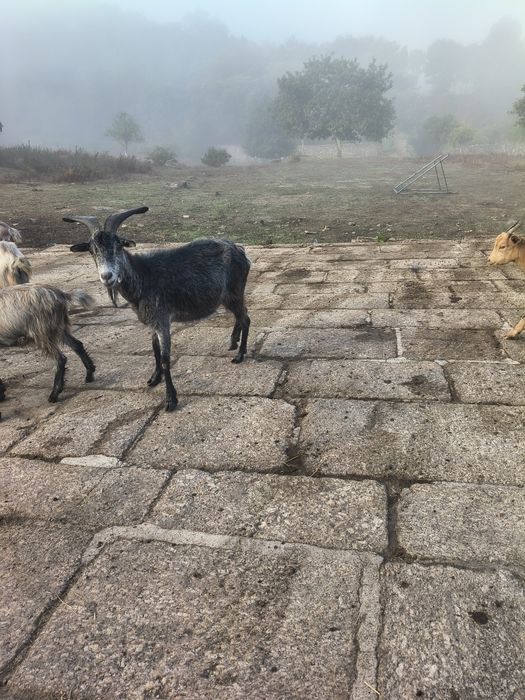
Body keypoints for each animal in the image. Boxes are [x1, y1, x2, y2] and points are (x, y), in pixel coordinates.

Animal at [66, 206, 251, 411]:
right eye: (92, 250)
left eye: (119, 246)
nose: (107, 276)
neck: (143, 277)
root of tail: (239, 250)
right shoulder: (152, 321)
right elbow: (154, 348)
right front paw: (155, 378)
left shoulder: (162, 320)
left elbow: (164, 358)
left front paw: (170, 399)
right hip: (228, 298)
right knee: (240, 316)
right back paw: (233, 342)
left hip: (235, 293)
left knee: (245, 319)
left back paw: (240, 354)